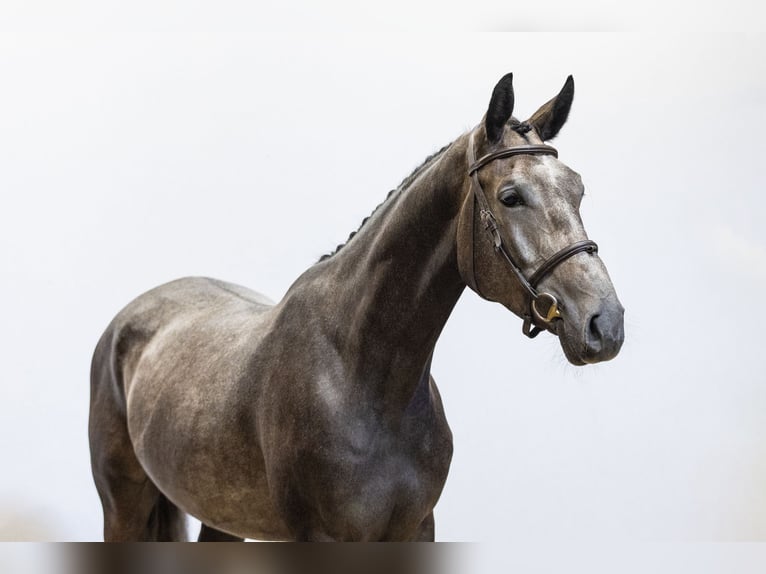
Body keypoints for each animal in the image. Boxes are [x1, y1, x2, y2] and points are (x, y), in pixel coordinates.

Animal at [89, 73, 624, 542]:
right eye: (511, 196)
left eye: (577, 189)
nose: (605, 323)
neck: (361, 375)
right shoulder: (321, 536)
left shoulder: (416, 529)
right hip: (122, 505)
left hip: (220, 517)